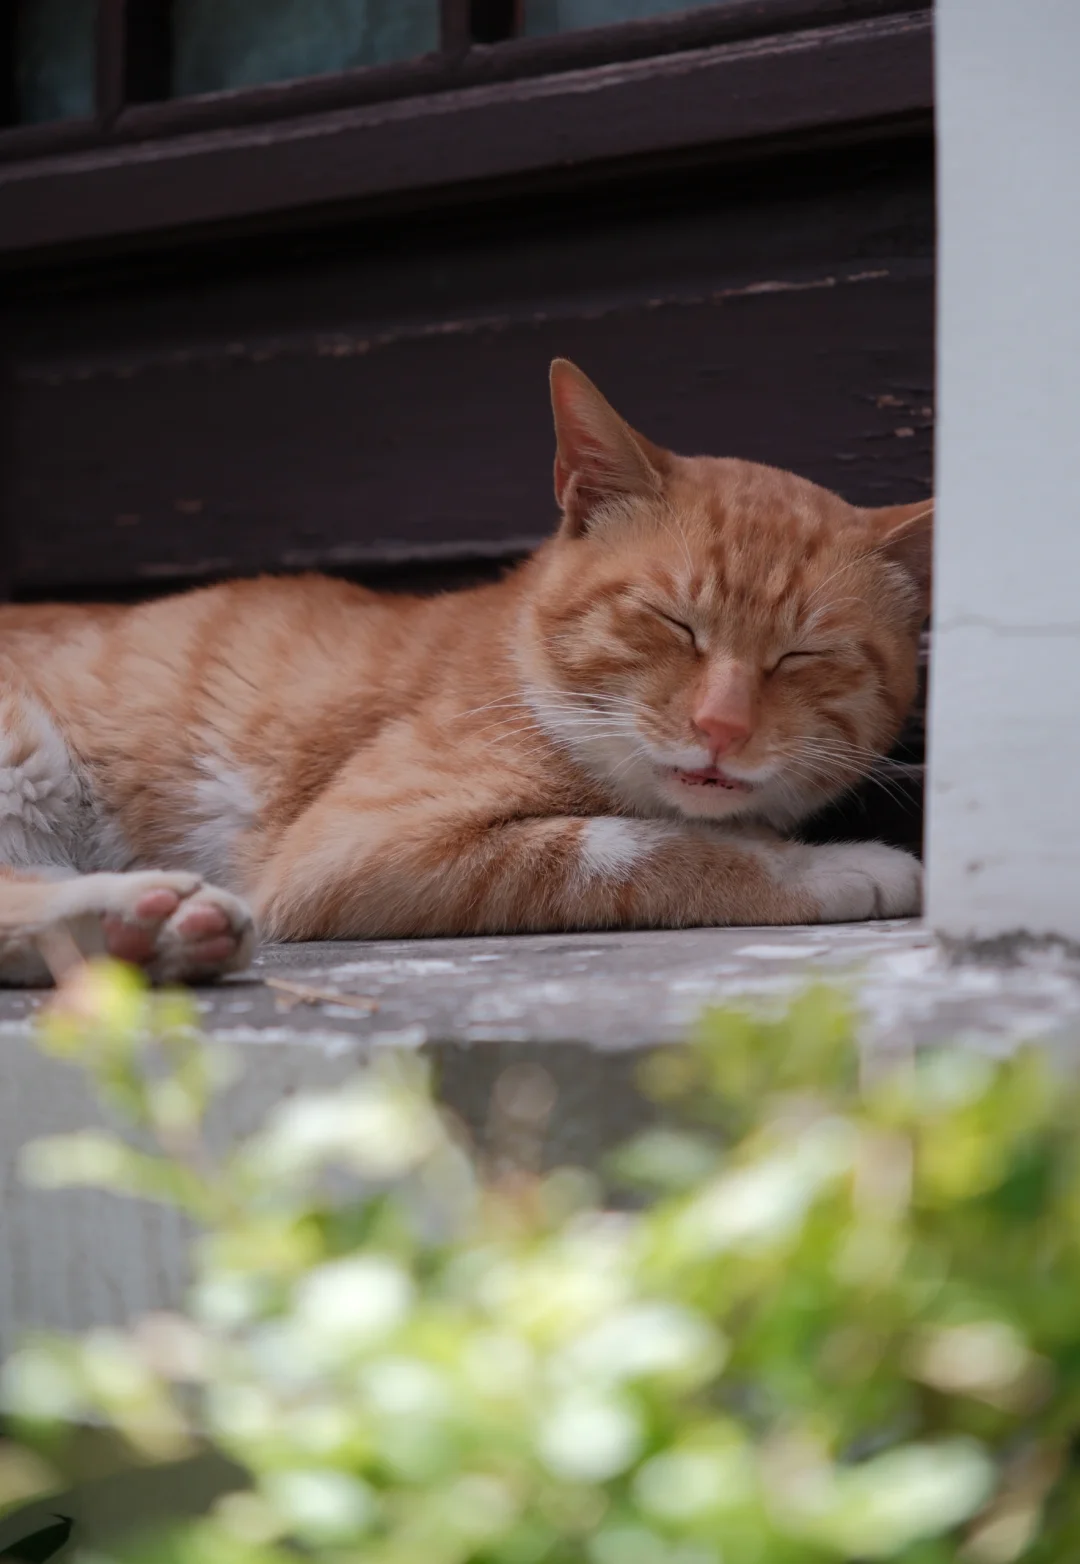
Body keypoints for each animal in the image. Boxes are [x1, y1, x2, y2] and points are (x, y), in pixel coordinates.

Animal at [0, 359, 931, 982]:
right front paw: (832, 866)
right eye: (673, 622)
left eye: (804, 653)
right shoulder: (358, 849)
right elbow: (639, 848)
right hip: (24, 746)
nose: (721, 727)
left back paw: (152, 930)